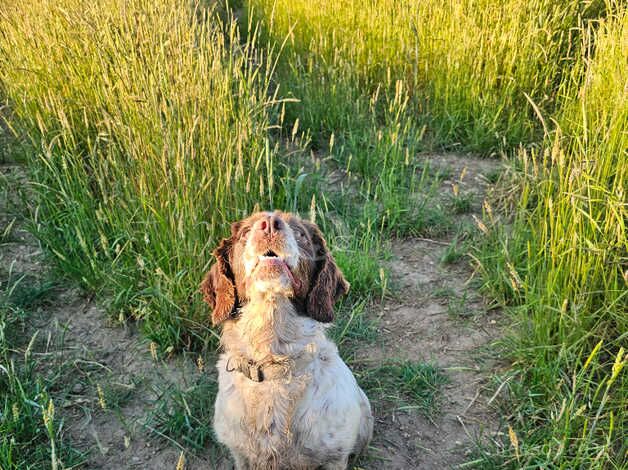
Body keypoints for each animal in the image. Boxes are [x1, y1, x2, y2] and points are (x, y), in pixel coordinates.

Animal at [201, 211, 372, 468]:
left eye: (300, 233)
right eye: (245, 232)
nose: (270, 224)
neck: (274, 359)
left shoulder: (335, 456)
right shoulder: (240, 455)